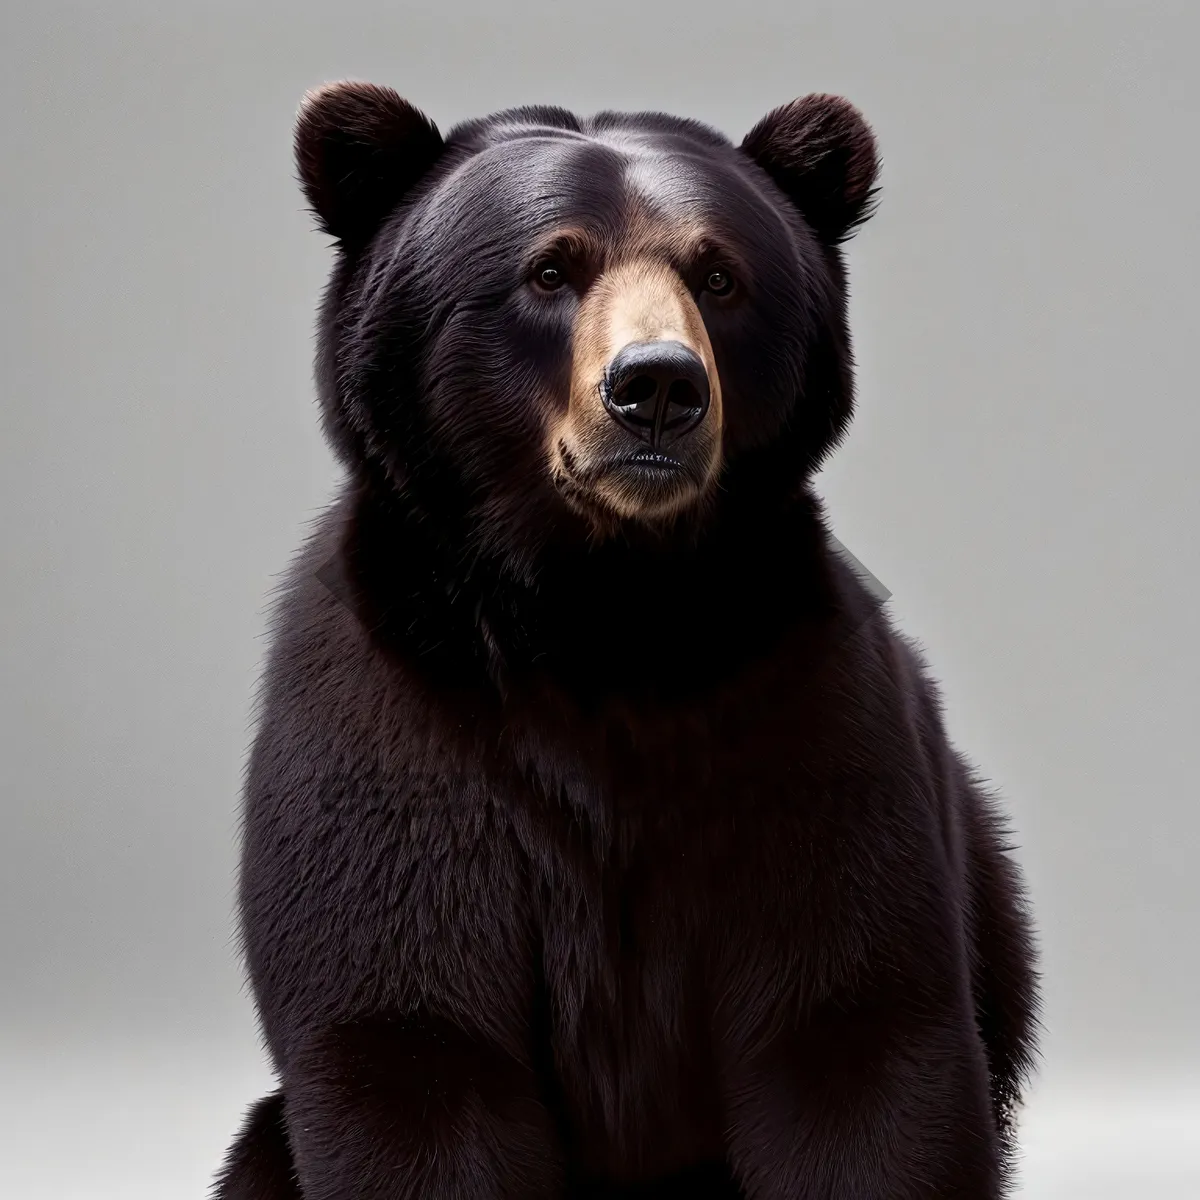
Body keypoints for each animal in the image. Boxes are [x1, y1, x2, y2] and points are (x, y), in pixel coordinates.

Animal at [216, 84, 1041, 1200]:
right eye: (549, 270)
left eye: (719, 274)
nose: (656, 388)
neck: (605, 618)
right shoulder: (396, 727)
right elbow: (412, 1033)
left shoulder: (806, 714)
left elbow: (852, 1031)